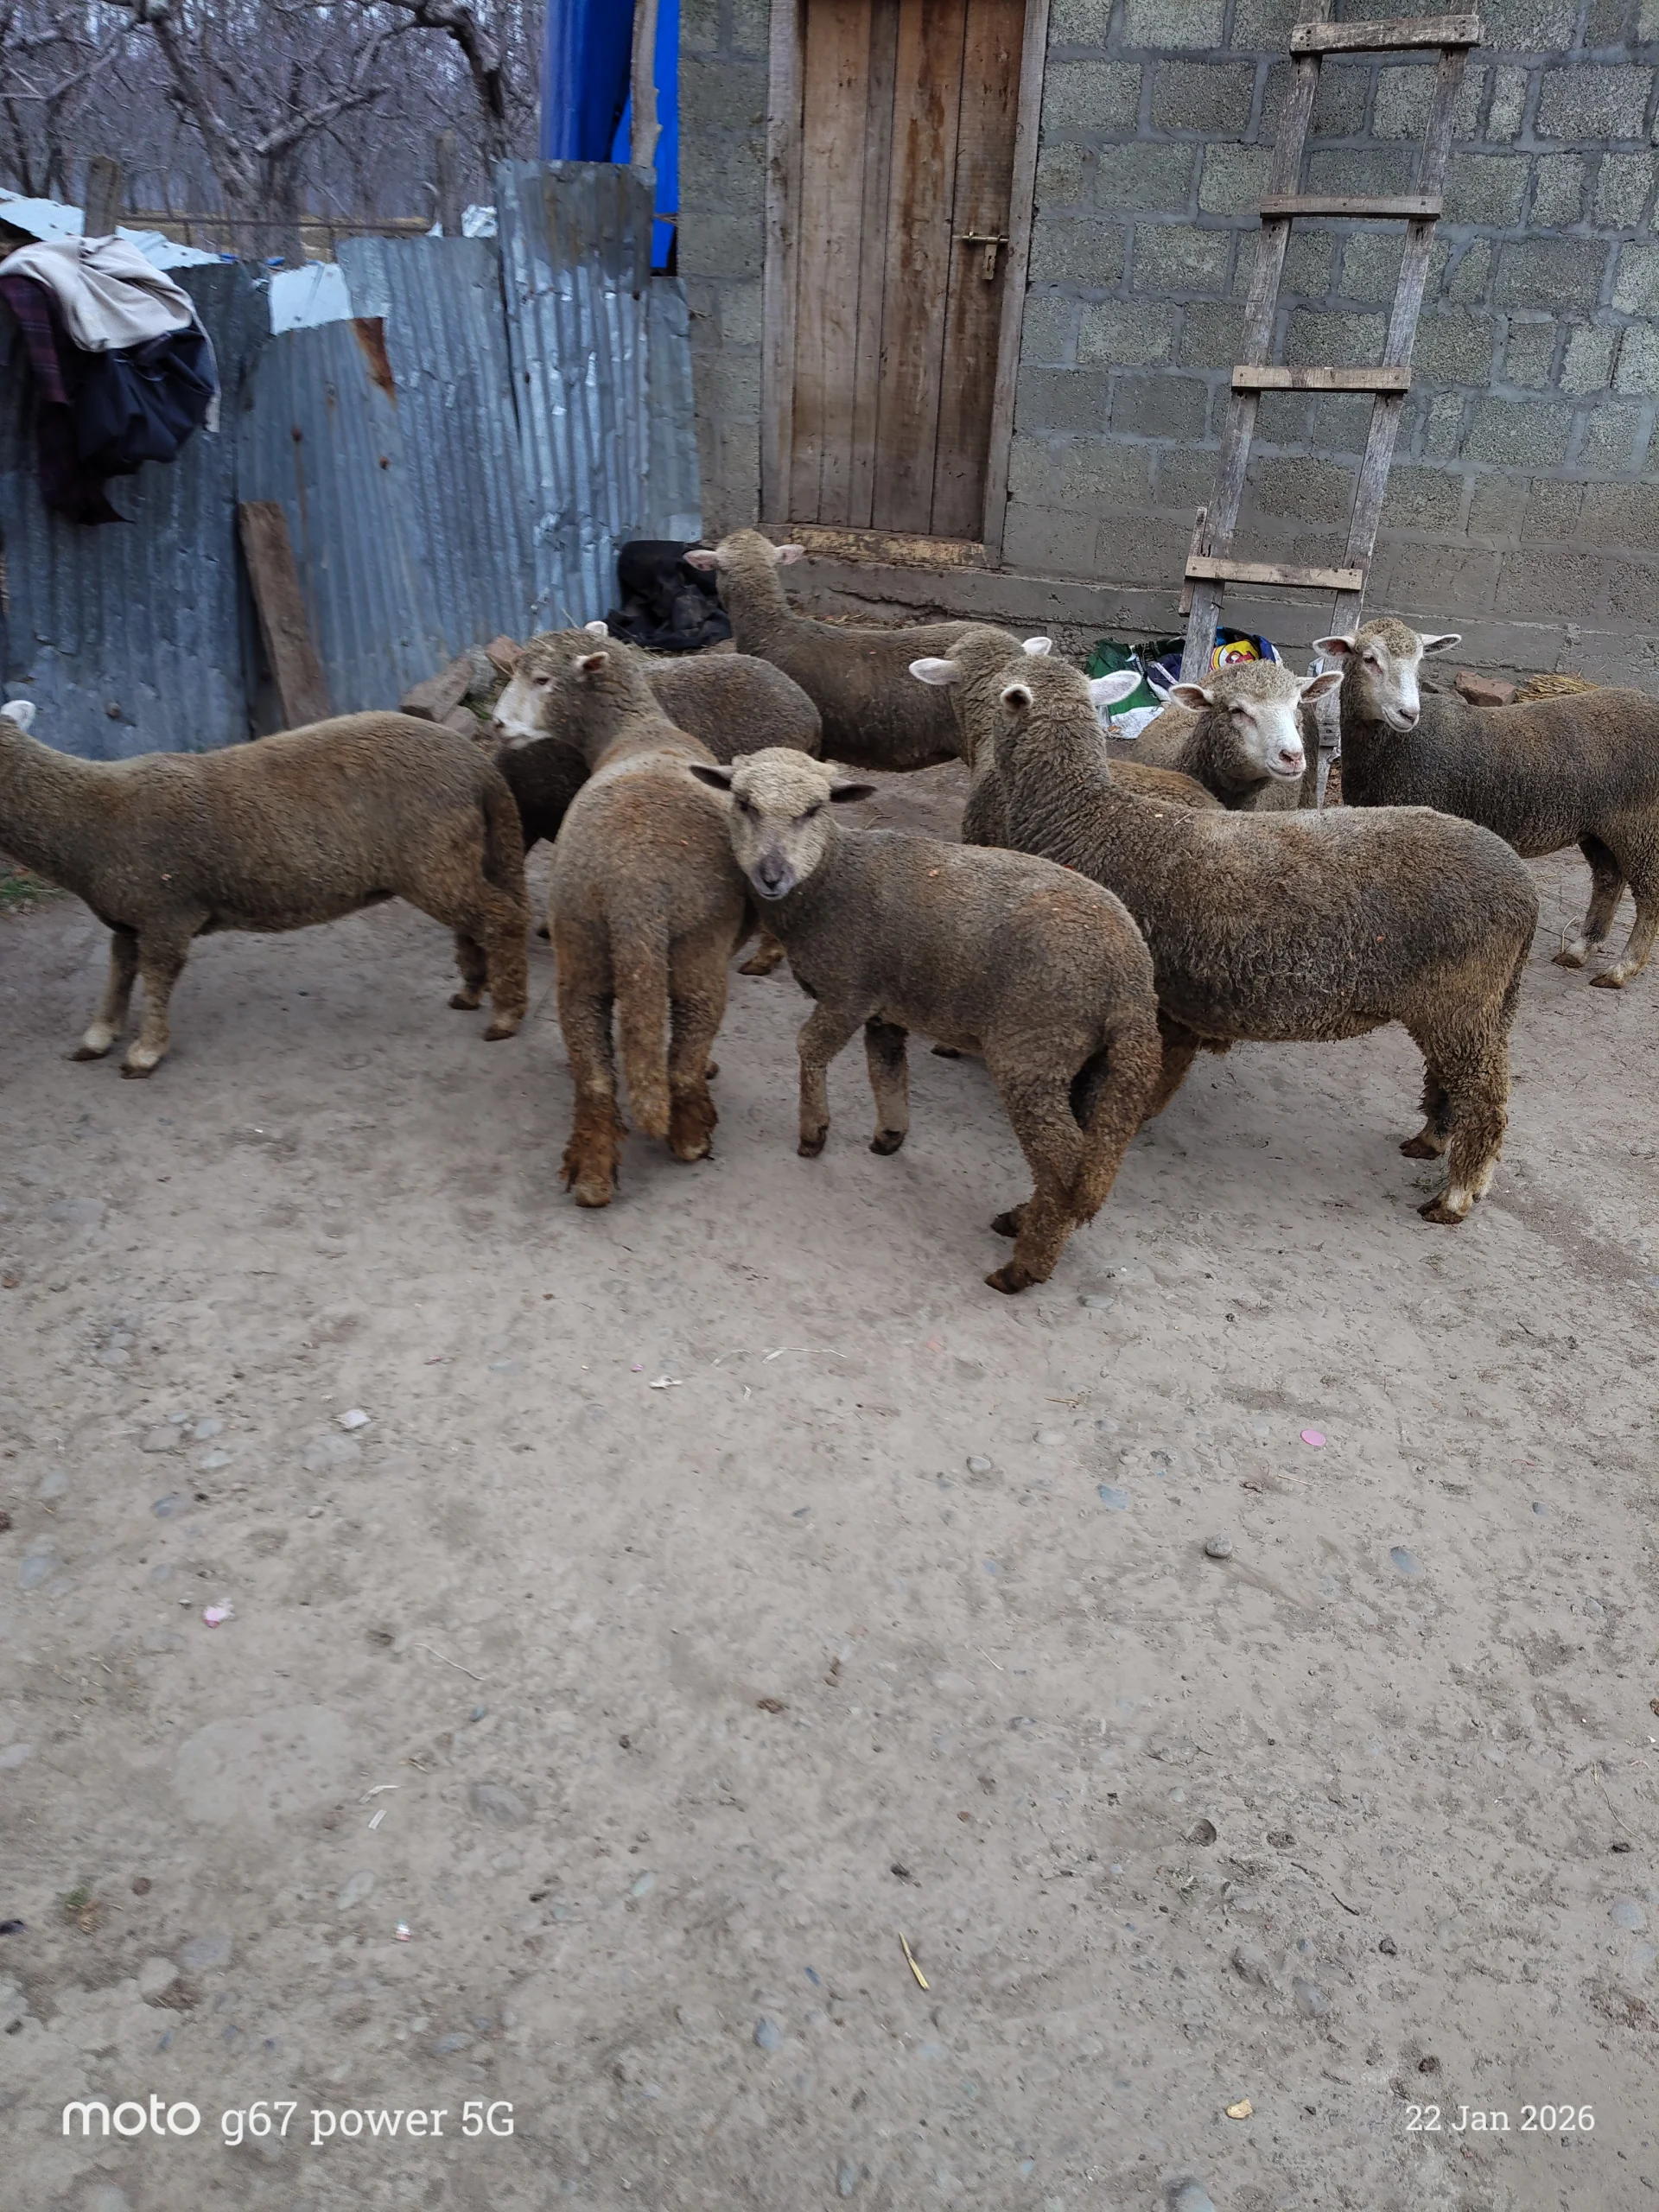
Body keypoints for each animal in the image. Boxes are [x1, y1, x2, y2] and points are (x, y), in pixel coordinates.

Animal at [0, 706, 529, 1075]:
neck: (92, 821)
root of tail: (479, 767)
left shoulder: (166, 913)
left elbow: (156, 978)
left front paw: (144, 1053)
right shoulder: (129, 919)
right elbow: (118, 974)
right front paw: (98, 1037)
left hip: (433, 858)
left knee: (501, 917)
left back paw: (506, 1017)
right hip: (456, 854)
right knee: (475, 924)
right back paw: (472, 991)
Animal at [533, 633, 754, 1203]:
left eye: (539, 679)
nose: (499, 725)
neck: (640, 729)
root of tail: (634, 888)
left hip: (582, 939)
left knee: (592, 1059)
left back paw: (591, 1172)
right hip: (698, 945)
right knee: (688, 1042)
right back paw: (691, 1132)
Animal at [685, 747, 1163, 1293]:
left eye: (815, 809)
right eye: (742, 803)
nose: (771, 875)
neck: (832, 878)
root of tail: (1133, 980)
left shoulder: (848, 991)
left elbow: (810, 1048)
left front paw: (814, 1133)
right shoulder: (883, 1004)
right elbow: (886, 1067)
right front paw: (890, 1135)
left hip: (1034, 1048)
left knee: (1061, 1156)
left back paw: (1023, 1268)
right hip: (1089, 1064)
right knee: (1079, 1158)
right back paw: (1023, 1220)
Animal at [921, 648, 1541, 1225]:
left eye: (998, 696)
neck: (1084, 819)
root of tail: (1522, 887)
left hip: (1462, 999)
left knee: (1486, 1094)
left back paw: (1458, 1194)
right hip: (1469, 1002)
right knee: (1453, 1077)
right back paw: (1430, 1140)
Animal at [1315, 617, 1659, 989]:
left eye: (1420, 661)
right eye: (1368, 659)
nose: (1409, 713)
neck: (1395, 746)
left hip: (1640, 823)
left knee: (1649, 895)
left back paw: (1622, 968)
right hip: (1600, 827)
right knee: (1609, 881)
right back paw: (1581, 949)